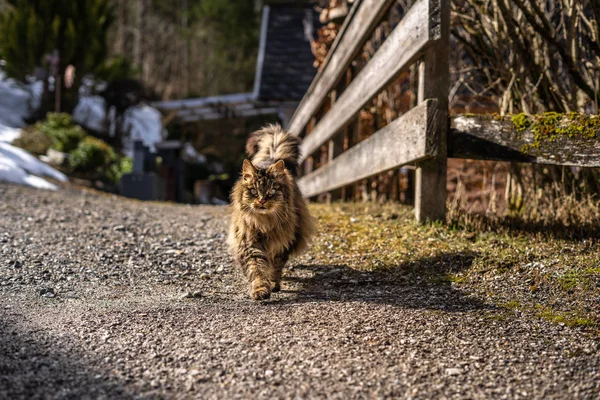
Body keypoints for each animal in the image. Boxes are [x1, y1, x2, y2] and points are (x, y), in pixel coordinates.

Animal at [229, 124, 314, 300]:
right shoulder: (249, 244)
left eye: (271, 191)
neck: (265, 223)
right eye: (254, 191)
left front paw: (274, 284)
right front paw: (260, 289)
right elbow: (257, 270)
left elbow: (276, 267)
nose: (262, 200)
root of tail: (271, 158)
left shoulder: (282, 242)